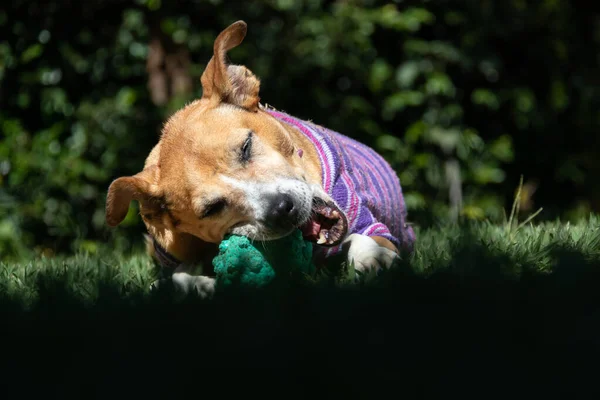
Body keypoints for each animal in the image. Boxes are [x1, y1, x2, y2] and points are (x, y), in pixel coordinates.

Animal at [105, 20, 414, 298]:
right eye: (212, 208)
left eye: (246, 146)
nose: (282, 209)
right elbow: (178, 275)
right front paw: (191, 286)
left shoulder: (367, 223)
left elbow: (368, 238)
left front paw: (372, 256)